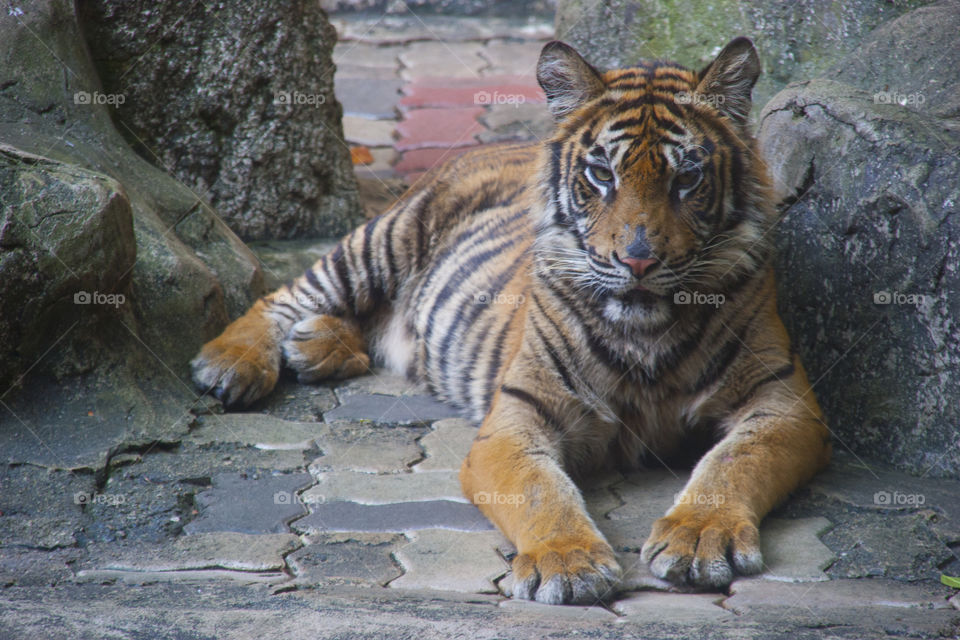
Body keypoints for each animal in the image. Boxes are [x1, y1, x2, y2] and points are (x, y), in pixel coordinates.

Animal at [189, 37, 832, 608]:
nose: (639, 261)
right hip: (382, 241)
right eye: (602, 175)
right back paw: (231, 365)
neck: (645, 331)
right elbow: (541, 489)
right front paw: (568, 564)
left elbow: (733, 462)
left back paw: (315, 346)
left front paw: (700, 537)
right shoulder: (518, 416)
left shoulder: (785, 403)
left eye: (687, 179)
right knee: (282, 295)